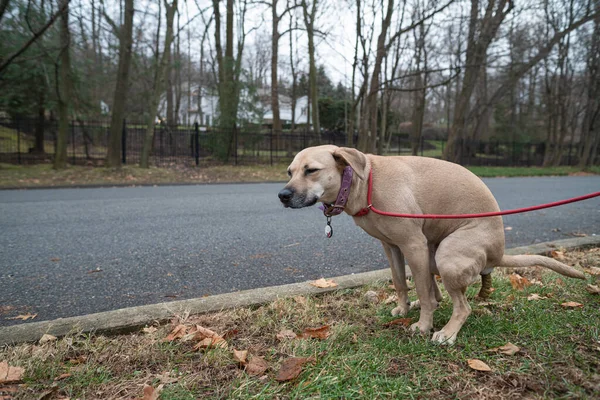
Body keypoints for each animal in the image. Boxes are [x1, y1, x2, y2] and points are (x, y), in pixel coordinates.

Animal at [278, 145, 584, 346]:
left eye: (311, 170)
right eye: (290, 171)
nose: (282, 195)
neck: (362, 184)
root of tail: (497, 254)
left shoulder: (412, 245)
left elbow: (423, 292)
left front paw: (423, 325)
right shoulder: (391, 247)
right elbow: (400, 282)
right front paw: (403, 309)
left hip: (447, 256)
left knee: (461, 306)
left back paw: (447, 332)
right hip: (433, 254)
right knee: (439, 289)